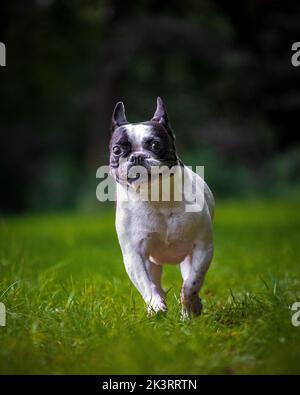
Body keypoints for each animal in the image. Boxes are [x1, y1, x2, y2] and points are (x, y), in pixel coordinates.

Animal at [109, 97, 214, 320]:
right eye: (117, 150)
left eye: (155, 144)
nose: (137, 156)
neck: (155, 196)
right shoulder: (134, 255)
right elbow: (146, 285)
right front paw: (156, 305)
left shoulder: (202, 247)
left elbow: (191, 283)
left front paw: (189, 307)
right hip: (152, 262)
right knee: (155, 282)